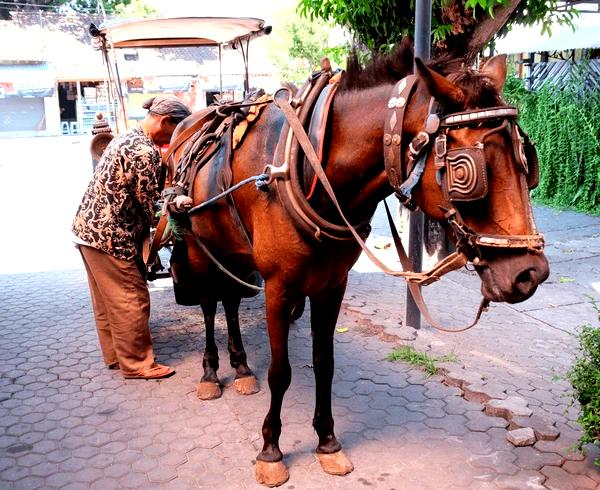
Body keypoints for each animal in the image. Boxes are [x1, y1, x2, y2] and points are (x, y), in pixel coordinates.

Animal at [169, 45, 548, 486]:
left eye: (527, 161)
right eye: (464, 171)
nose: (530, 274)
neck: (310, 168)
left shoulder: (332, 284)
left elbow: (324, 363)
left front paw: (327, 441)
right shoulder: (280, 287)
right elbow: (281, 372)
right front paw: (271, 450)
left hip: (232, 250)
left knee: (230, 299)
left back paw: (242, 366)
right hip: (198, 248)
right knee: (210, 303)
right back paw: (211, 373)